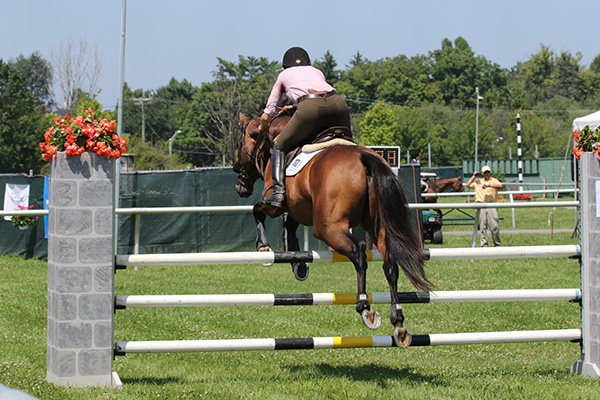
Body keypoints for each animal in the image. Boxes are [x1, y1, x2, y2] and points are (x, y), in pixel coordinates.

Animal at [232, 111, 434, 346]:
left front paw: (264, 247)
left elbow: (258, 210)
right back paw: (398, 322)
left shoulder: (275, 203)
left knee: (359, 252)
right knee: (390, 265)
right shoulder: (299, 208)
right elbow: (289, 227)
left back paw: (364, 307)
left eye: (239, 143)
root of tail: (365, 158)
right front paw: (299, 265)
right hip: (378, 227)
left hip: (328, 228)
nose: (240, 184)